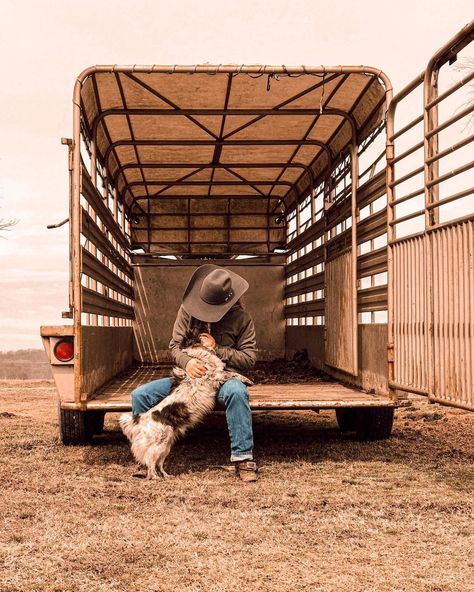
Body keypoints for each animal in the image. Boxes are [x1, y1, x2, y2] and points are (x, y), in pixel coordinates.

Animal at [119, 336, 252, 478]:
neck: (199, 353)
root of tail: (141, 420)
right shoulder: (215, 374)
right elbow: (231, 374)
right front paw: (248, 379)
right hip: (158, 445)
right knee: (150, 464)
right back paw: (155, 478)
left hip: (165, 446)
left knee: (159, 464)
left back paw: (167, 476)